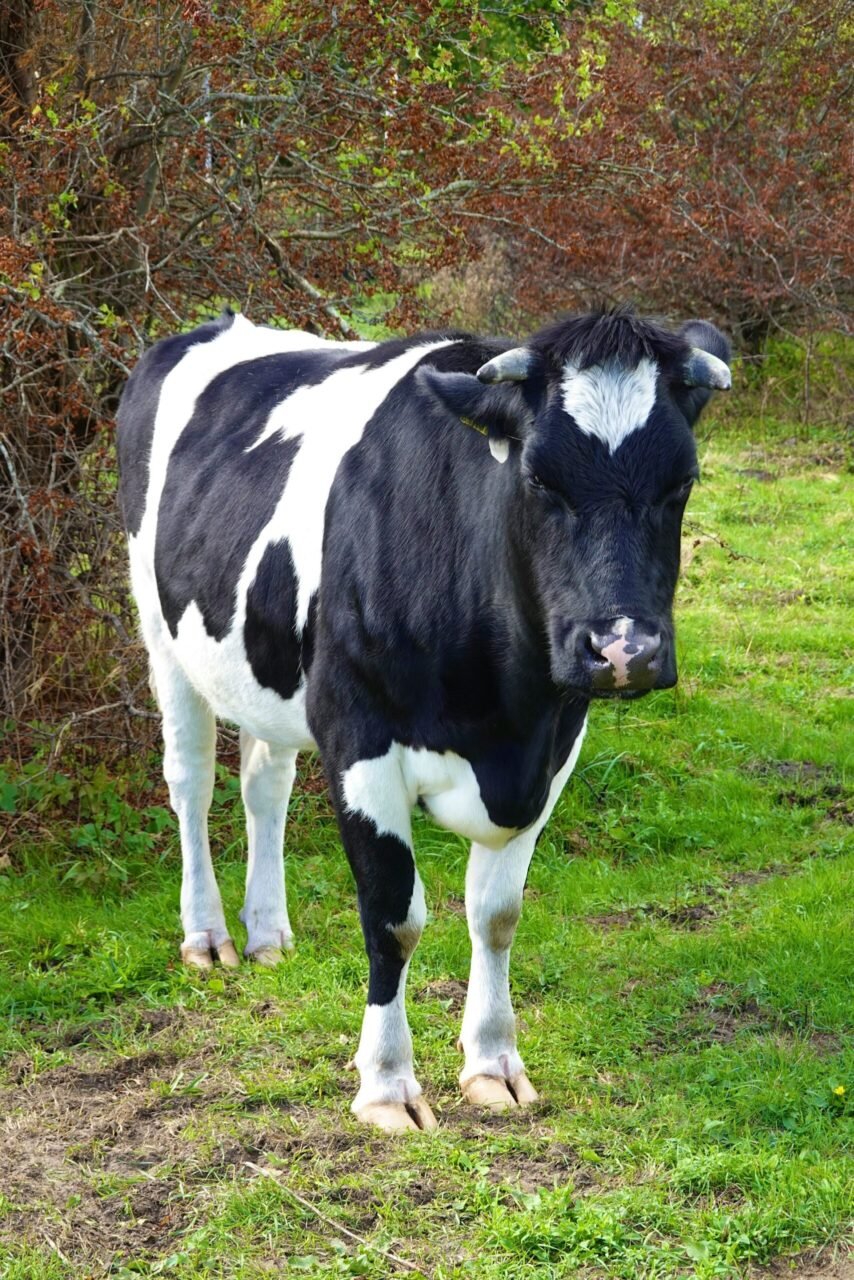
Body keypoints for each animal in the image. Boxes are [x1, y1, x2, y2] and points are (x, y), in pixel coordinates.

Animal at [117, 306, 731, 1132]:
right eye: (538, 478)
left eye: (682, 480)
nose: (623, 650)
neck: (500, 719)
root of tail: (213, 326)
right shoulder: (357, 737)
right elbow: (393, 918)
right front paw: (385, 1083)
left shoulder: (552, 747)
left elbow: (497, 913)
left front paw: (494, 1063)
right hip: (162, 635)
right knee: (190, 783)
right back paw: (208, 934)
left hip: (265, 667)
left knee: (264, 785)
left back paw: (268, 931)